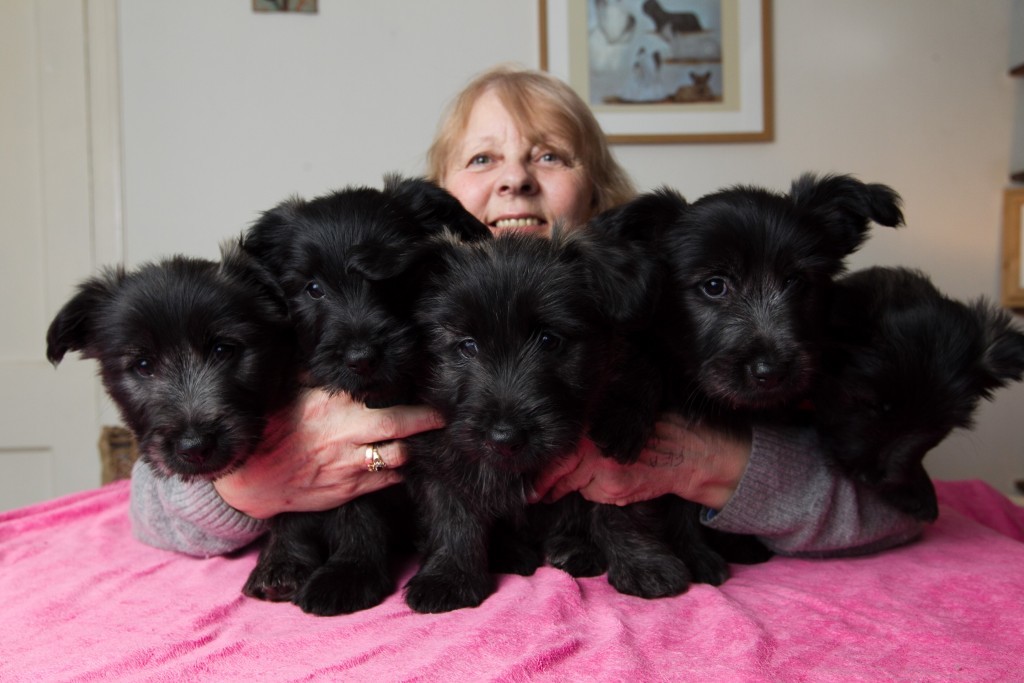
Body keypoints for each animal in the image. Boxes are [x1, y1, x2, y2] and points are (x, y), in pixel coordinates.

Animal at [241, 174, 493, 618]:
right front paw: (351, 573)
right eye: (313, 289)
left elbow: (453, 508)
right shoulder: (346, 468)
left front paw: (448, 577)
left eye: (394, 278)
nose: (361, 358)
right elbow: (356, 516)